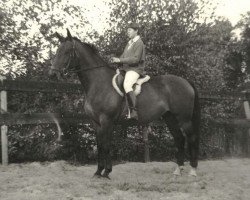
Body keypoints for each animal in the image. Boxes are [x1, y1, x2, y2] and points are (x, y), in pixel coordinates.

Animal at [49, 28, 201, 179]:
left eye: (67, 51)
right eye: (57, 50)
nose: (52, 74)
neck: (99, 83)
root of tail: (186, 81)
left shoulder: (106, 120)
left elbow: (106, 145)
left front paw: (106, 172)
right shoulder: (96, 122)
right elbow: (100, 145)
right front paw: (98, 171)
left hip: (184, 119)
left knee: (191, 138)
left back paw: (193, 170)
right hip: (170, 118)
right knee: (179, 139)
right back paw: (178, 170)